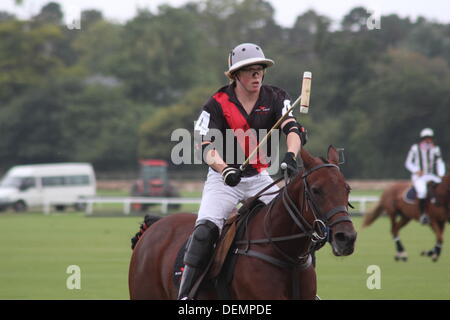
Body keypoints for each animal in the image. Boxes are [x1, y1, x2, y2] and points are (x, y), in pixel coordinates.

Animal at [128, 146, 356, 298]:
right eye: (316, 190)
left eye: (347, 188)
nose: (346, 238)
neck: (284, 253)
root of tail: (155, 225)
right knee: (203, 233)